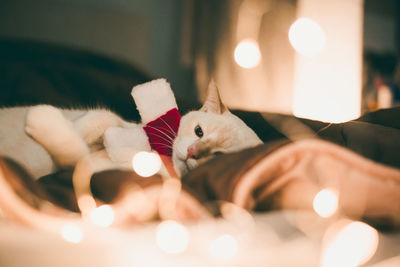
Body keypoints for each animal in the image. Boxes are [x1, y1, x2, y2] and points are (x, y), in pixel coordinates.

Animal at [0, 80, 262, 179]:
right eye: (199, 132)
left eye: (218, 156)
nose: (192, 152)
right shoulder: (116, 122)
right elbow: (98, 119)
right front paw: (71, 122)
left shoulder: (80, 168)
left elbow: (73, 148)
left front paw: (44, 117)